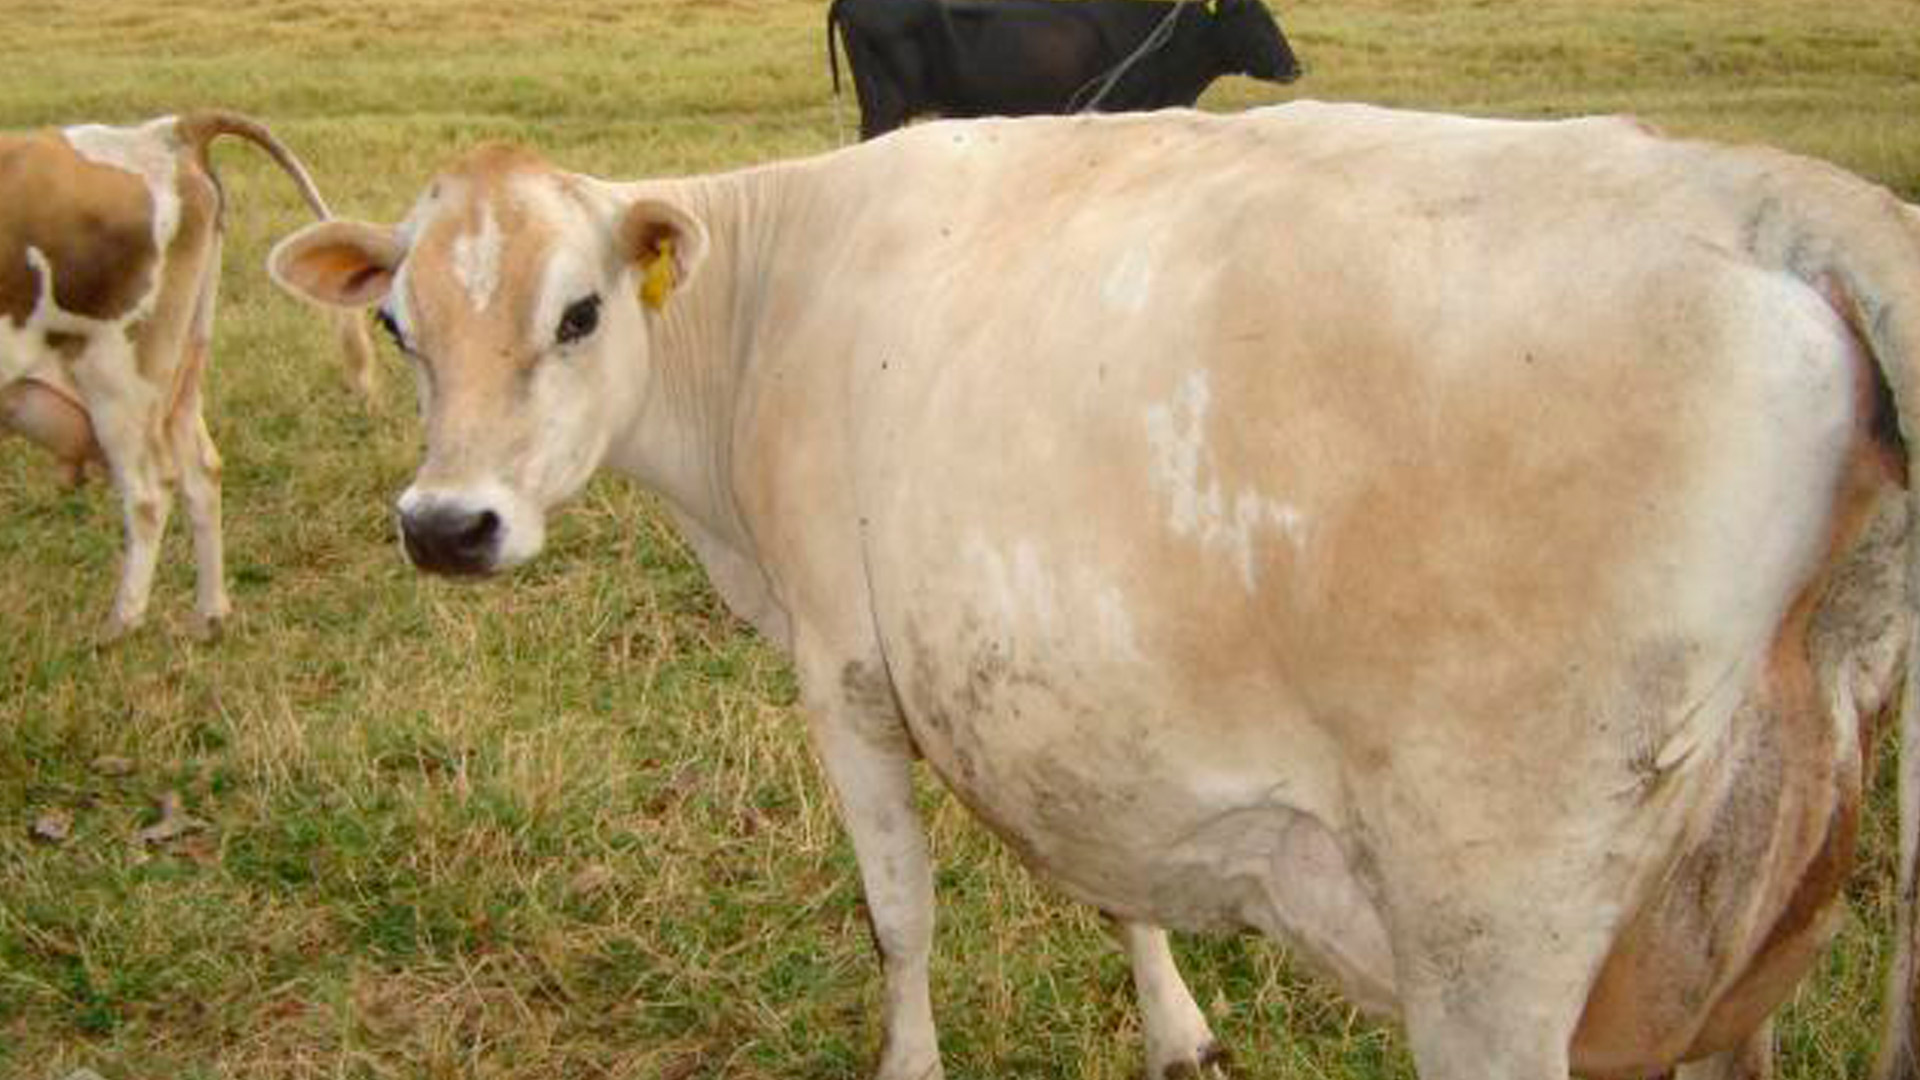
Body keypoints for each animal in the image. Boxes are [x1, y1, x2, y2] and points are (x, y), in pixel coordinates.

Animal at [1, 111, 375, 640]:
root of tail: (170, 131)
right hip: (183, 366)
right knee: (203, 470)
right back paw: (210, 614)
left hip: (119, 376)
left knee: (149, 492)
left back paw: (120, 625)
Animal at [269, 101, 1920, 1079]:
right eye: (403, 328)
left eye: (581, 313)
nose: (446, 524)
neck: (778, 296)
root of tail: (1769, 200)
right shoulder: (1084, 694)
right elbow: (1116, 872)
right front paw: (1176, 1028)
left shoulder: (843, 670)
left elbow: (899, 915)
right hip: (1748, 921)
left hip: (1493, 932)